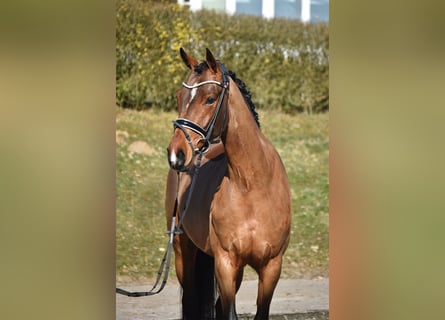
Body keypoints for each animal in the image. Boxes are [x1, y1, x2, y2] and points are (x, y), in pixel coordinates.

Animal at [166, 48, 292, 320]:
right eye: (180, 96)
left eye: (210, 98)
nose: (176, 154)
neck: (252, 184)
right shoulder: (225, 263)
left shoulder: (271, 267)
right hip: (183, 251)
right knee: (191, 300)